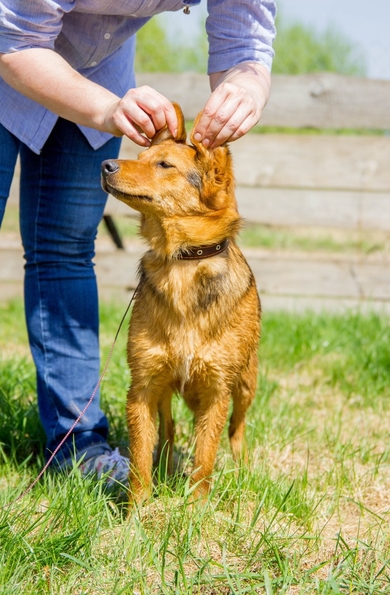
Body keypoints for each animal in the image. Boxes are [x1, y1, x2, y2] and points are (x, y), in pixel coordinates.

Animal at [100, 103, 260, 508]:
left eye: (164, 165)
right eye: (139, 156)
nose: (106, 165)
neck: (183, 261)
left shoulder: (218, 390)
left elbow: (205, 455)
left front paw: (197, 509)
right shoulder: (142, 387)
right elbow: (140, 456)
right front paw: (137, 512)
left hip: (246, 383)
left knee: (237, 428)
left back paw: (242, 470)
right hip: (164, 389)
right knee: (169, 429)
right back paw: (167, 465)